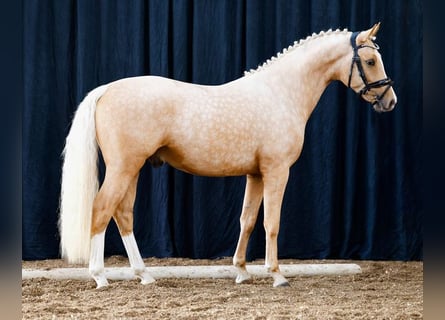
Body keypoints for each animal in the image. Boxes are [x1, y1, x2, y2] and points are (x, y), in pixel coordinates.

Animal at [59, 22, 396, 288]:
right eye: (369, 60)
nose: (390, 101)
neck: (280, 93)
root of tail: (106, 90)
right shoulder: (277, 171)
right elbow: (271, 222)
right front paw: (277, 275)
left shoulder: (256, 173)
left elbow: (247, 220)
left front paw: (242, 271)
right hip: (124, 168)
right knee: (101, 210)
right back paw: (100, 277)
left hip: (133, 169)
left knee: (123, 215)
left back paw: (144, 275)